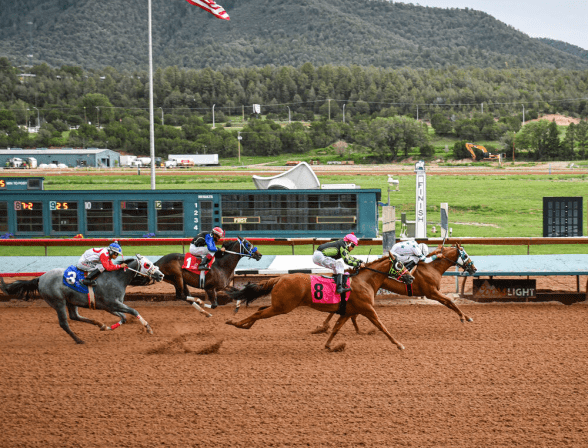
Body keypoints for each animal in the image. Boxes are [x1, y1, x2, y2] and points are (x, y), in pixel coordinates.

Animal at [1, 254, 165, 344]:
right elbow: (133, 311)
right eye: (147, 264)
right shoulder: (112, 303)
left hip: (71, 301)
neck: (116, 277)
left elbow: (123, 318)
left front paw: (107, 327)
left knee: (75, 316)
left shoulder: (109, 306)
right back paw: (79, 340)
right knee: (64, 323)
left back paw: (99, 324)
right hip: (58, 302)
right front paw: (148, 328)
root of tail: (40, 278)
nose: (161, 275)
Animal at [225, 252, 414, 350]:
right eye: (399, 265)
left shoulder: (348, 312)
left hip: (279, 304)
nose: (411, 278)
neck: (364, 281)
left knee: (259, 311)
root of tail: (280, 278)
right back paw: (236, 323)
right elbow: (382, 327)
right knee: (259, 314)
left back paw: (244, 325)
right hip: (283, 307)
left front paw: (329, 345)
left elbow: (336, 328)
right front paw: (399, 344)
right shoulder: (368, 310)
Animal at [312, 243, 478, 334]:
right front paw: (464, 317)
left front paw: (465, 317)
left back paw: (327, 326)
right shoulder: (431, 292)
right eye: (465, 255)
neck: (431, 267)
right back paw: (326, 326)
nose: (474, 268)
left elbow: (449, 302)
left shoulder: (433, 292)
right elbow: (450, 301)